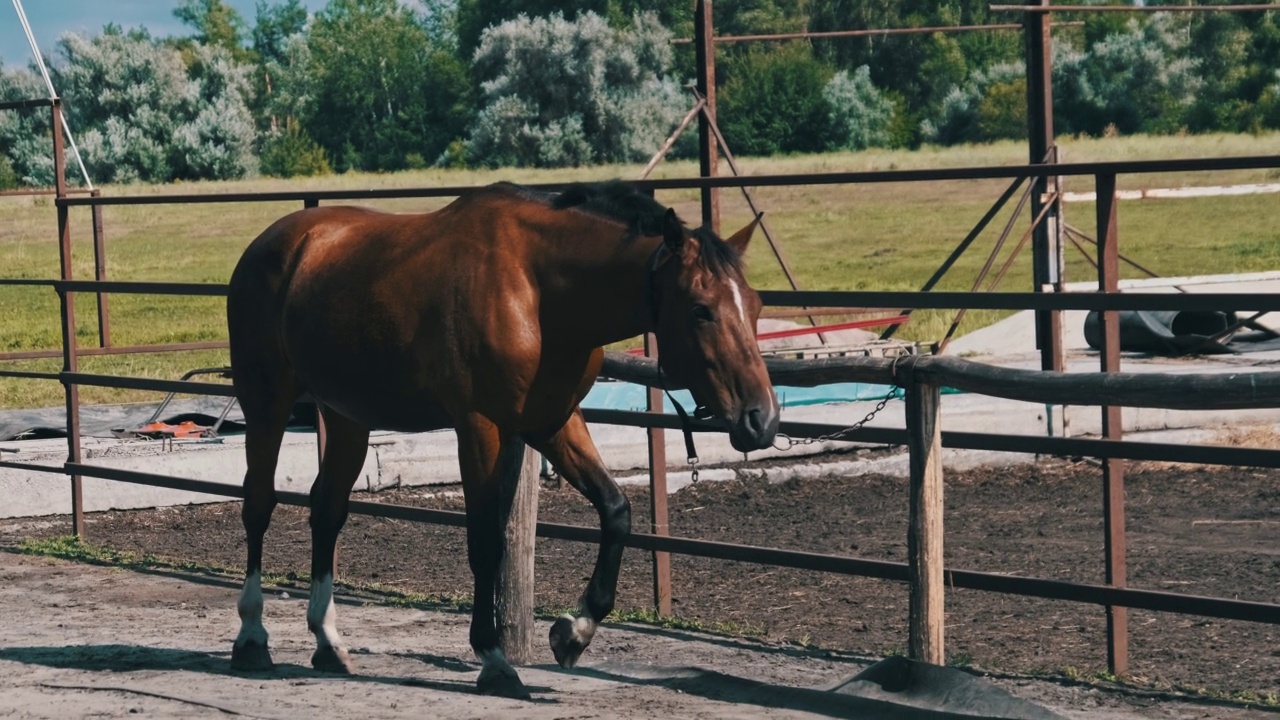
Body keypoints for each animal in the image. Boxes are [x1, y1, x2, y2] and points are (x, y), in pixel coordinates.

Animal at [225, 179, 773, 696]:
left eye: (756, 303)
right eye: (701, 309)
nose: (761, 419)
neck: (539, 290)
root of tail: (274, 242)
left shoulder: (552, 422)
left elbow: (616, 511)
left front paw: (574, 631)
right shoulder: (479, 427)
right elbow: (487, 539)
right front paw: (494, 660)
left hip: (346, 415)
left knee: (327, 510)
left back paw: (327, 641)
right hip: (266, 402)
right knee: (258, 503)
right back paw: (252, 637)